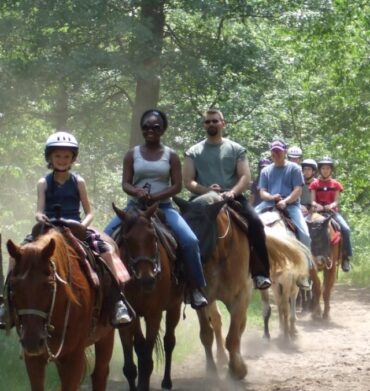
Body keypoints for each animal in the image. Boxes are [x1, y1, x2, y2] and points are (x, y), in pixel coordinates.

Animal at [5, 230, 115, 391]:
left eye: (50, 286)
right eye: (13, 286)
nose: (32, 341)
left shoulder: (74, 356)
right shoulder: (33, 359)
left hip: (106, 336)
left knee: (100, 374)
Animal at [111, 204, 184, 391]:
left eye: (153, 237)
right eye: (127, 240)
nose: (147, 279)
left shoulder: (153, 315)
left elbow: (147, 361)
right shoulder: (129, 316)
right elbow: (132, 363)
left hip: (174, 307)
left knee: (169, 342)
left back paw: (167, 382)